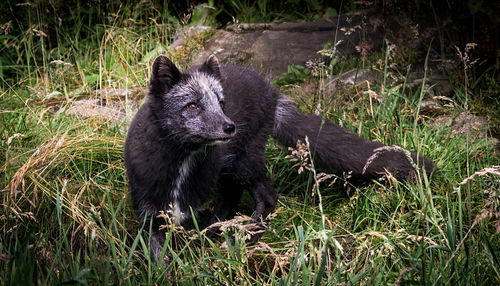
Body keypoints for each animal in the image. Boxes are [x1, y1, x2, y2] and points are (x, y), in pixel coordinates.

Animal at [124, 54, 434, 262]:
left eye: (221, 103)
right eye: (192, 106)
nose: (230, 127)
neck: (181, 166)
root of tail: (272, 90)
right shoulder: (148, 209)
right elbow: (157, 255)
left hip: (244, 164)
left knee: (267, 197)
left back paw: (245, 235)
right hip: (233, 168)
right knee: (232, 198)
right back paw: (218, 229)